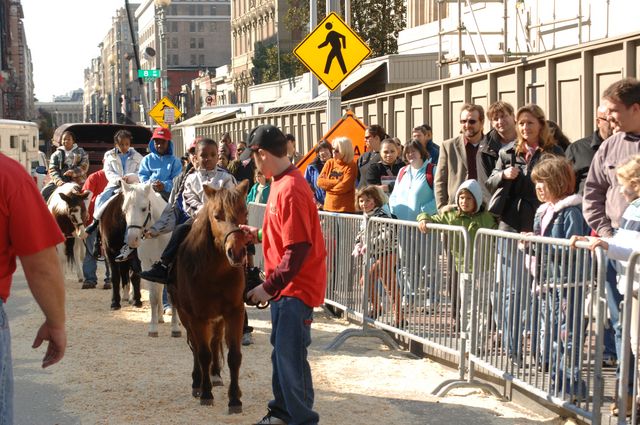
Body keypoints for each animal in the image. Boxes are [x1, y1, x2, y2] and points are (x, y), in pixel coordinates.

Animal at [120, 181, 181, 336]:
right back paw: (159, 317)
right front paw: (153, 328)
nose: (132, 239)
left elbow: (172, 296)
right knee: (159, 289)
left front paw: (175, 328)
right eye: (124, 210)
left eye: (143, 208)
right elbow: (153, 296)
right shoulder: (148, 265)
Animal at [169, 180, 249, 410]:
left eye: (245, 212)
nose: (236, 252)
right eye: (217, 216)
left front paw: (235, 398)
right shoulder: (197, 316)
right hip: (185, 314)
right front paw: (205, 393)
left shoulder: (234, 312)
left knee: (214, 342)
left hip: (218, 319)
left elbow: (234, 356)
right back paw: (198, 381)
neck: (215, 272)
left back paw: (215, 375)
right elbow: (202, 353)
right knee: (196, 347)